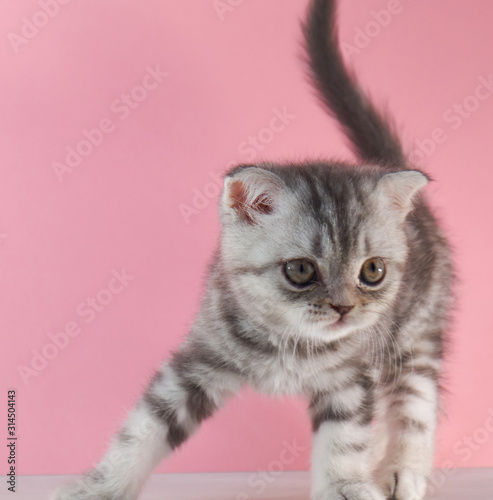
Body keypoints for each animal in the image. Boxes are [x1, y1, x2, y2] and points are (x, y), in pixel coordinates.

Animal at [52, 0, 452, 500]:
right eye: (300, 270)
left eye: (373, 271)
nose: (344, 308)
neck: (290, 342)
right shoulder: (197, 362)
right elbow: (142, 429)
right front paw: (100, 486)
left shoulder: (349, 380)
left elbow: (345, 441)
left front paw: (346, 486)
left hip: (416, 331)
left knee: (416, 401)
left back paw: (401, 470)